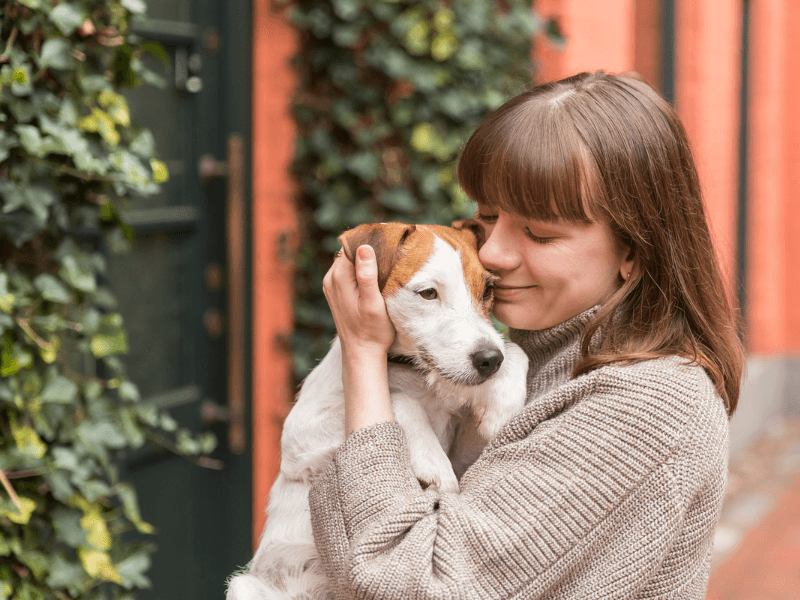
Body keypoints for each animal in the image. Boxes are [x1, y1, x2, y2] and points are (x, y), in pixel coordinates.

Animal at [227, 221, 524, 600]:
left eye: (488, 290)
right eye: (428, 293)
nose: (489, 361)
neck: (417, 373)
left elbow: (516, 350)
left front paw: (504, 403)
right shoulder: (299, 434)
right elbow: (401, 399)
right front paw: (434, 463)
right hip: (245, 585)